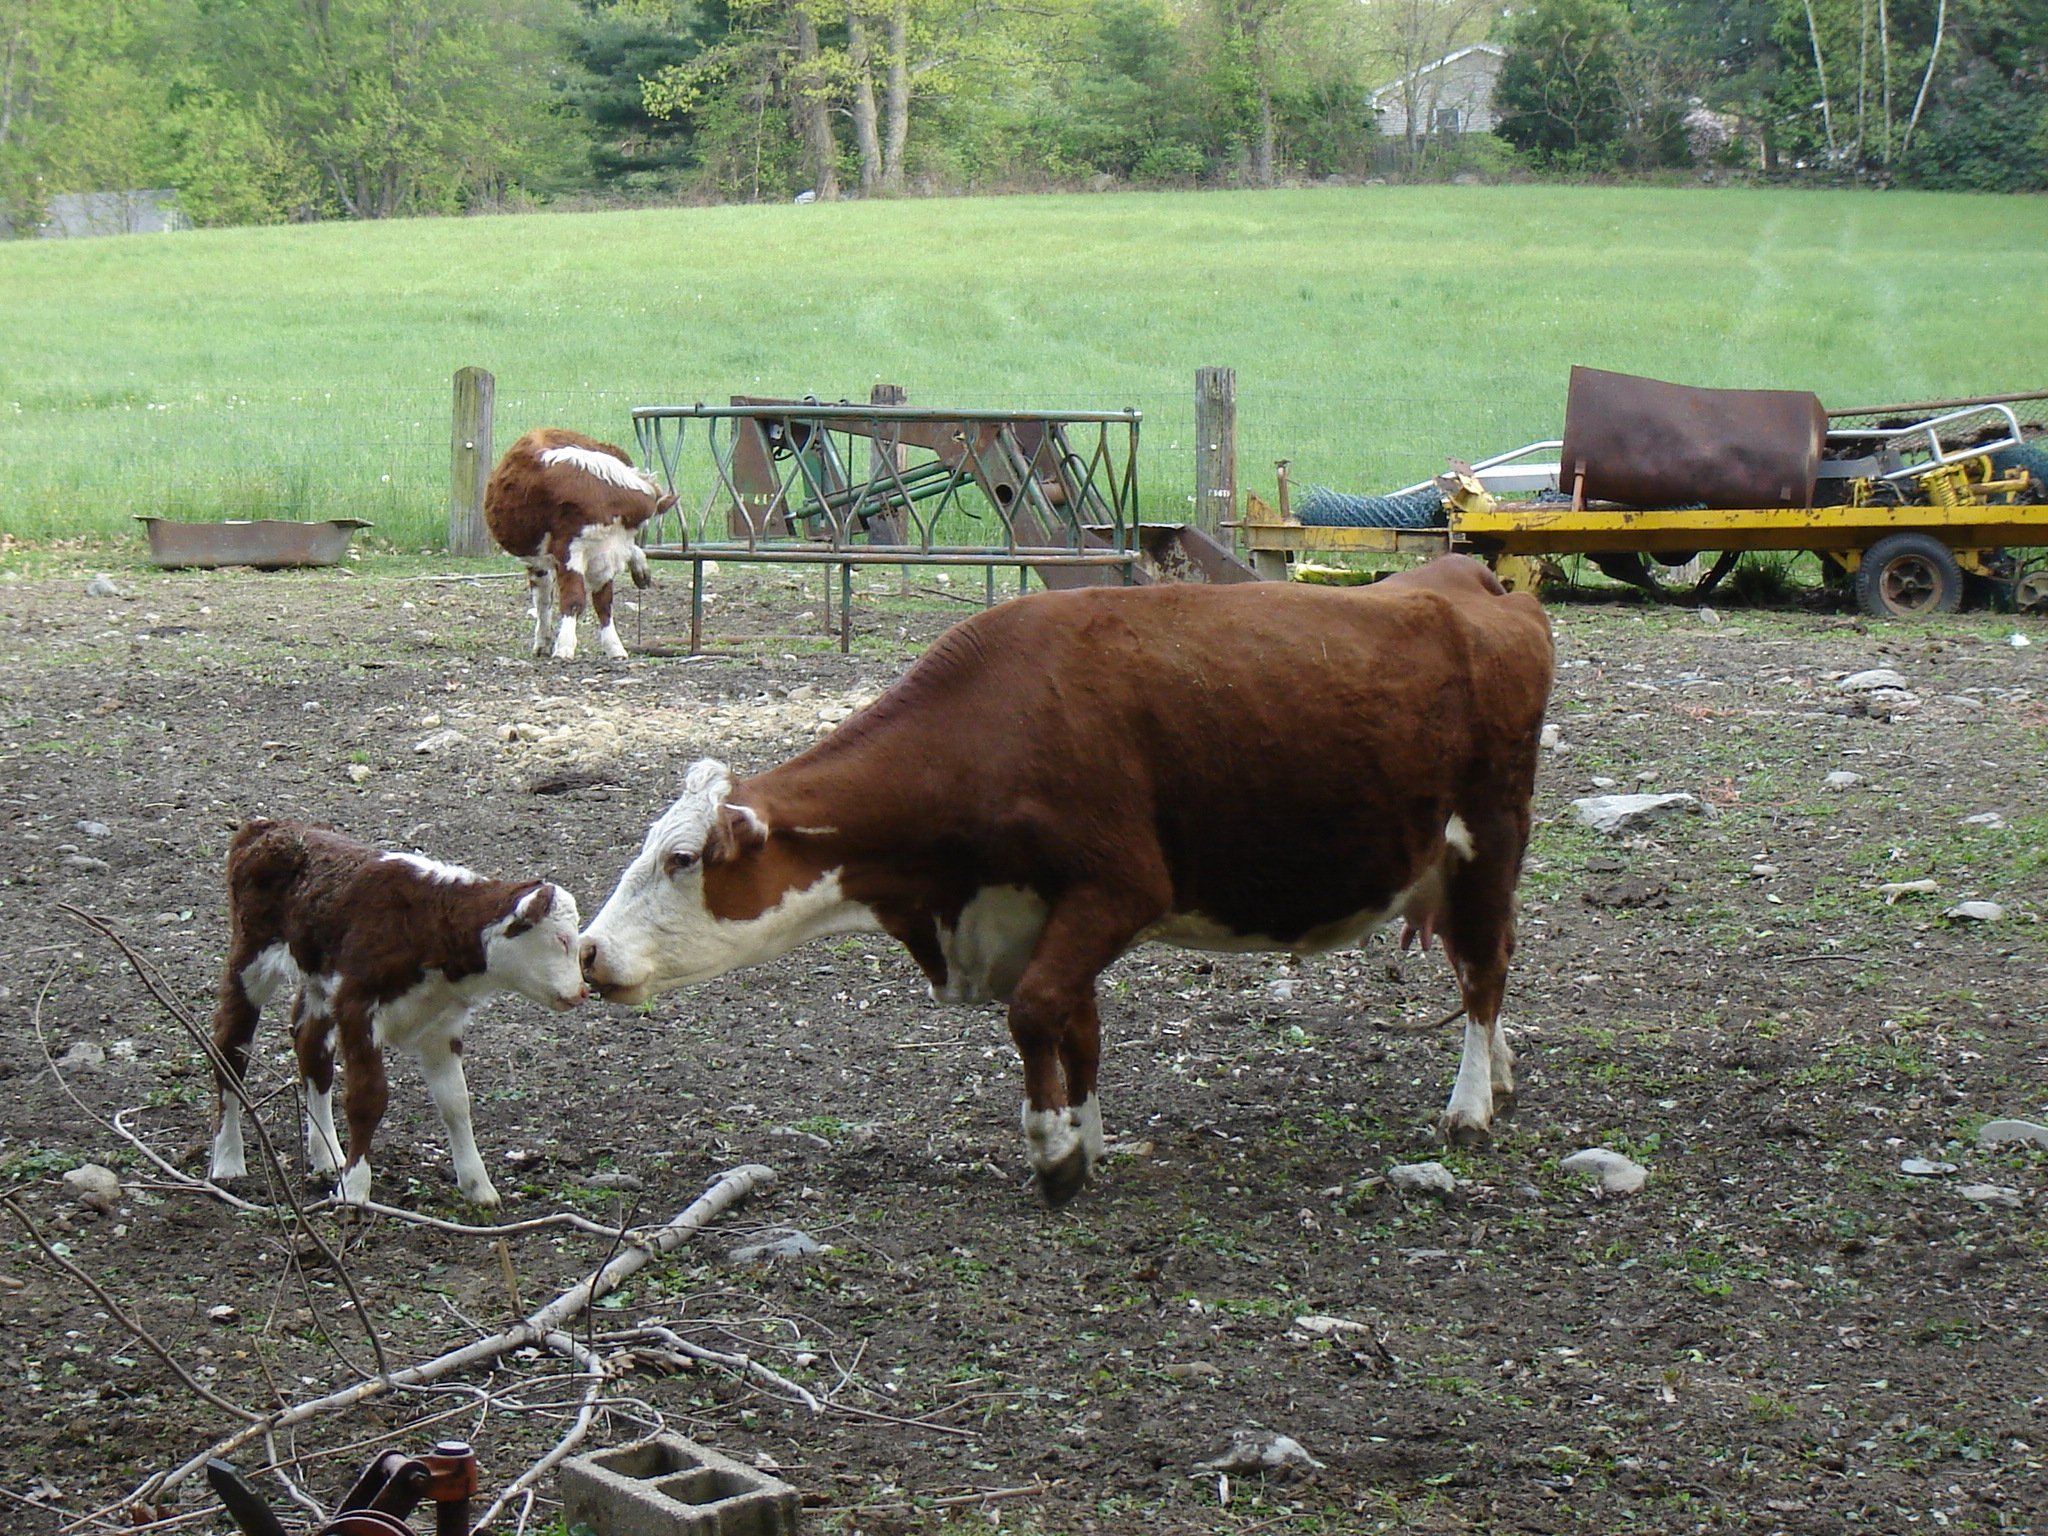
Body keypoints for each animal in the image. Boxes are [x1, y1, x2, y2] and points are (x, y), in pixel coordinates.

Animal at [207, 819, 588, 1207]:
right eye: (561, 940)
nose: (582, 991)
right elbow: (367, 1097)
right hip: (250, 960)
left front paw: (478, 1186)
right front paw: (354, 1189)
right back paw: (228, 1161)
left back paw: (327, 1156)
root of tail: (268, 827)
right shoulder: (358, 1007)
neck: (430, 922)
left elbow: (456, 1101)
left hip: (318, 981)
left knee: (313, 1051)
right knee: (230, 1049)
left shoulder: (441, 1024)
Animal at [484, 428, 677, 661]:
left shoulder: (607, 554)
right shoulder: (569, 551)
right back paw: (543, 641)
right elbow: (574, 600)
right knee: (542, 597)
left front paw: (614, 646)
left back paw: (641, 571)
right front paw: (565, 647)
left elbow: (604, 603)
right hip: (536, 555)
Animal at [579, 555, 1555, 1204]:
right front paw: (1086, 1135)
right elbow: (1075, 1028)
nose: (586, 951)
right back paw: (1503, 1074)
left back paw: (1471, 1103)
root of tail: (1470, 579)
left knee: (1484, 971)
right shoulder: (1044, 914)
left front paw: (1053, 1149)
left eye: (680, 860)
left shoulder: (1119, 889)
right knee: (1482, 962)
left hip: (1489, 837)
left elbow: (1036, 1010)